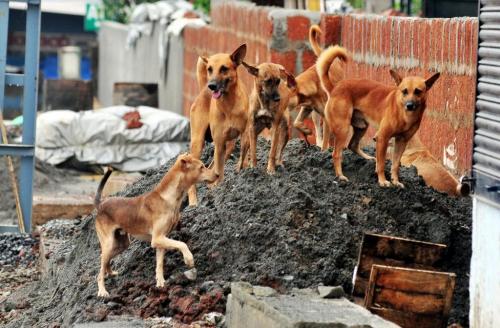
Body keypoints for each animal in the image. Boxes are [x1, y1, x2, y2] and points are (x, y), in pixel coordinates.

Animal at [94, 154, 219, 298]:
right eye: (201, 167)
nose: (217, 174)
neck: (168, 198)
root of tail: (100, 204)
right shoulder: (157, 239)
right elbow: (182, 244)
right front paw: (189, 259)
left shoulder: (162, 240)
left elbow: (159, 264)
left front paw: (160, 283)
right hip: (109, 243)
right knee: (100, 269)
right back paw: (102, 291)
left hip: (121, 243)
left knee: (105, 259)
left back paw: (110, 272)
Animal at [187, 43, 249, 205]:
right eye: (210, 69)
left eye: (224, 68)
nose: (212, 86)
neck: (229, 105)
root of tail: (203, 89)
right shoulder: (220, 142)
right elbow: (219, 170)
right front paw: (219, 188)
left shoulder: (245, 136)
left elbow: (244, 157)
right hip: (198, 142)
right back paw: (194, 201)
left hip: (229, 145)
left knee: (212, 165)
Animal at [318, 45, 440, 187]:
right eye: (404, 91)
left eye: (418, 91)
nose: (409, 105)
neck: (405, 115)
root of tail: (335, 88)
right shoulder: (382, 138)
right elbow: (382, 163)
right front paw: (382, 181)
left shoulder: (401, 141)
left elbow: (395, 165)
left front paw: (396, 181)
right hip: (343, 129)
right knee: (336, 154)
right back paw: (340, 176)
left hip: (362, 127)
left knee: (352, 145)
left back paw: (368, 158)